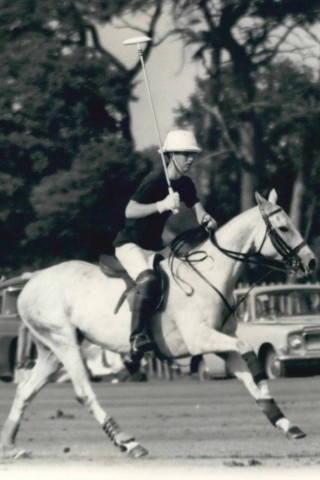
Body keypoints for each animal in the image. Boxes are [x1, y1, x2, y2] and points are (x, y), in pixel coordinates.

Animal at [0, 189, 316, 460]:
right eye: (284, 228)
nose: (311, 262)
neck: (210, 275)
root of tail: (31, 280)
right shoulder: (200, 338)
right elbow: (248, 349)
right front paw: (263, 372)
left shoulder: (220, 344)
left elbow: (251, 382)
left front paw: (287, 424)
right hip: (63, 341)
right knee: (83, 392)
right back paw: (128, 442)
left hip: (52, 350)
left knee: (25, 390)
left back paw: (11, 446)